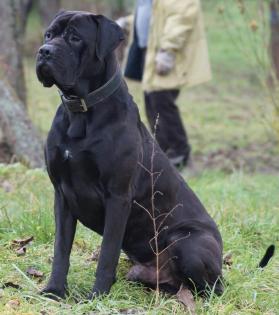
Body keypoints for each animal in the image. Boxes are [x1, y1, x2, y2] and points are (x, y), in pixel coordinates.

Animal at [36, 10, 224, 302]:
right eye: (49, 34)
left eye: (75, 37)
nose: (44, 51)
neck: (81, 111)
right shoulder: (62, 194)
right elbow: (61, 249)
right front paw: (54, 290)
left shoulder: (118, 196)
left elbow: (107, 253)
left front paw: (97, 296)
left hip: (188, 242)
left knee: (213, 287)